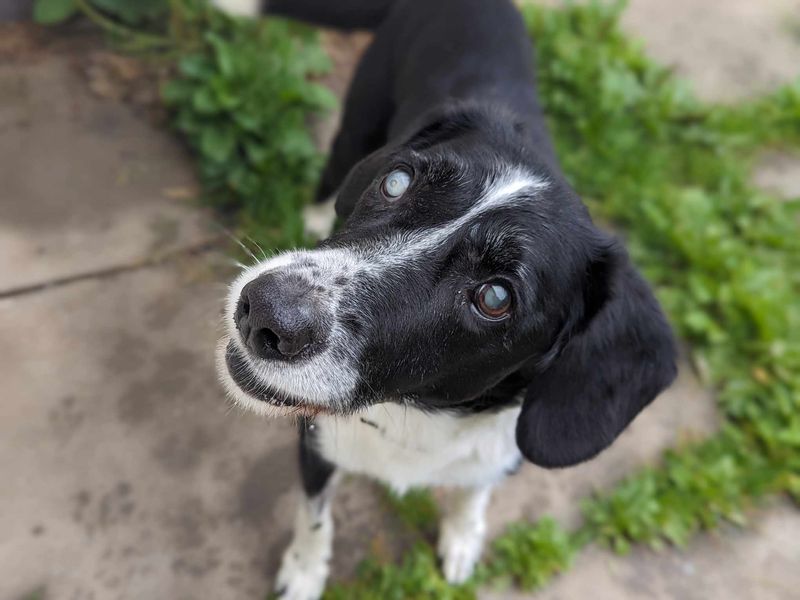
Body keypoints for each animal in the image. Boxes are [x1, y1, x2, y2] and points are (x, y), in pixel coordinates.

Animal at [211, 2, 676, 596]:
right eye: (396, 181)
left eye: (496, 296)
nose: (264, 312)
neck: (414, 416)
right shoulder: (315, 446)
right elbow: (314, 517)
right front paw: (304, 573)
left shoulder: (500, 451)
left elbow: (472, 491)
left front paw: (462, 538)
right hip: (361, 117)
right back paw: (315, 214)